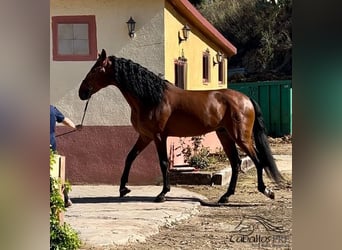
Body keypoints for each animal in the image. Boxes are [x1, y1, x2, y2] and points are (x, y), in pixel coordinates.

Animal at [79, 48, 284, 203]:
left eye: (95, 69)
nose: (82, 92)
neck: (151, 98)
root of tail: (246, 98)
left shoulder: (159, 136)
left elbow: (163, 163)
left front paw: (162, 193)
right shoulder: (145, 136)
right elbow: (130, 157)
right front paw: (123, 189)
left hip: (241, 137)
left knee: (257, 160)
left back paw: (267, 191)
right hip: (224, 135)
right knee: (236, 163)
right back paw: (226, 197)